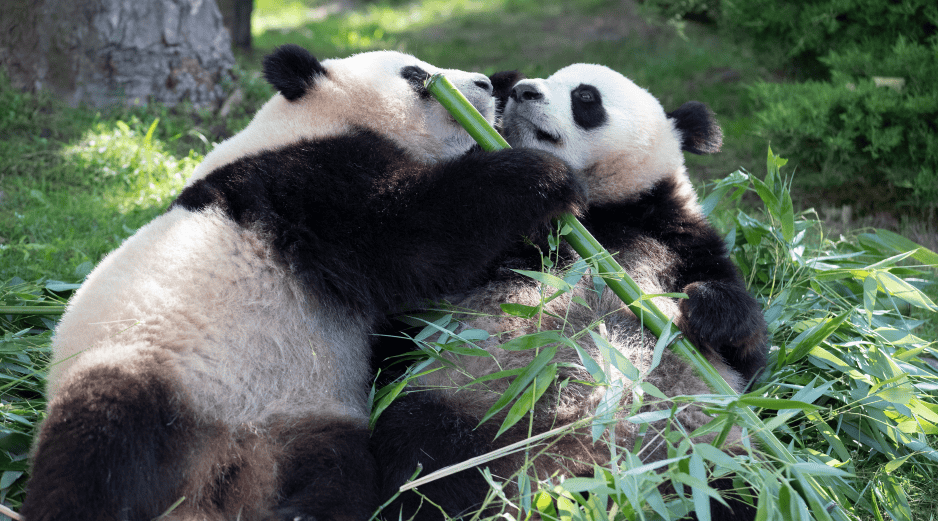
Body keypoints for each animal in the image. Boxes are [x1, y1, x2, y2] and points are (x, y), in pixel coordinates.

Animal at [19, 45, 588, 521]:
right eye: (415, 75)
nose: (484, 84)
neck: (307, 119)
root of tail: (220, 480)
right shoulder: (300, 181)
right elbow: (411, 233)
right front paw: (545, 175)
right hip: (148, 369)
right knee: (99, 450)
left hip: (308, 419)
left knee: (337, 479)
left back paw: (301, 514)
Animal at [371, 64, 768, 520]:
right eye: (521, 83)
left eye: (586, 98)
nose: (523, 91)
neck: (596, 209)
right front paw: (531, 179)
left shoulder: (680, 239)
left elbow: (748, 357)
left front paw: (707, 309)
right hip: (462, 401)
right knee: (421, 458)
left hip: (703, 452)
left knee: (741, 490)